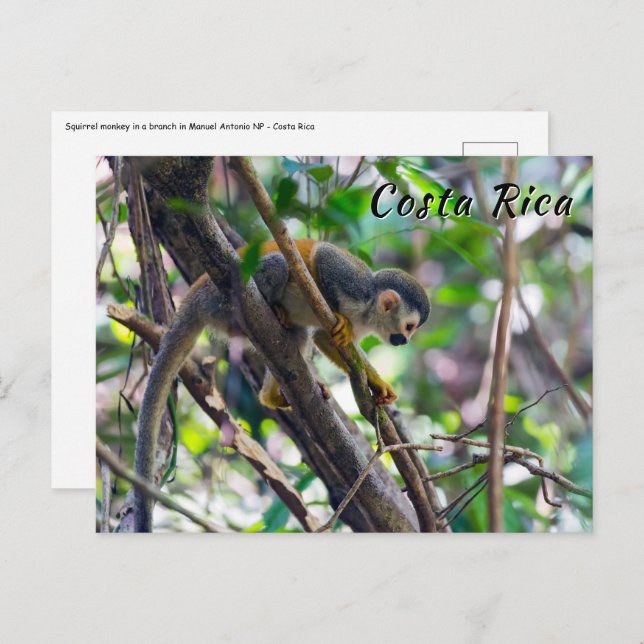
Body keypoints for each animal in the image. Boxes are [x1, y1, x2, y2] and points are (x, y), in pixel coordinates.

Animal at [133, 238, 430, 531]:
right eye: (409, 326)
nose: (405, 341)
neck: (368, 312)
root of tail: (195, 294)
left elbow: (325, 339)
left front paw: (378, 384)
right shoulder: (354, 284)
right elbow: (324, 257)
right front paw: (336, 311)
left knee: (294, 338)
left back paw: (272, 396)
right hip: (219, 297)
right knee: (277, 264)